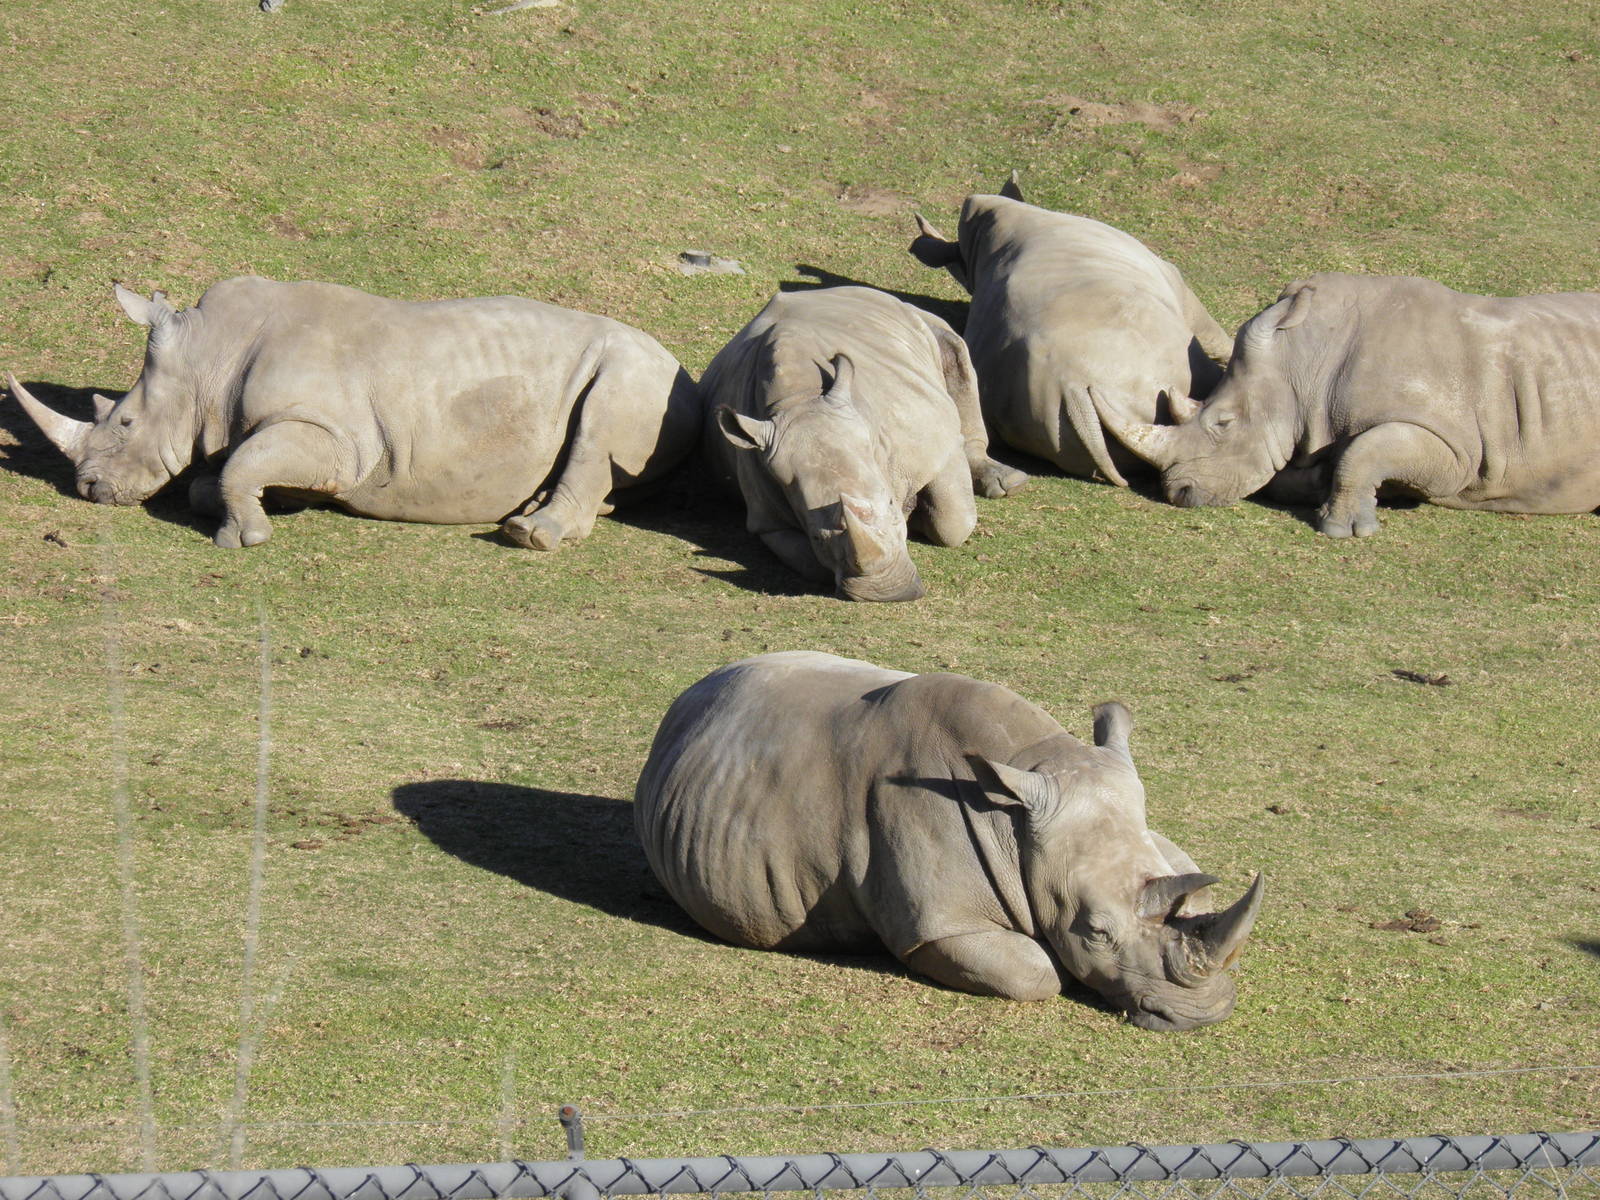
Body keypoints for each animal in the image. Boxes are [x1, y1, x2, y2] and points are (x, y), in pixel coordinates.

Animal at [8, 277, 700, 548]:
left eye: (125, 424)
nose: (88, 488)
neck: (210, 358)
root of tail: (689, 378)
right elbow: (225, 473)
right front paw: (265, 507)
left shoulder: (338, 439)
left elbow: (240, 468)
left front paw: (246, 537)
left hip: (640, 374)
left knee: (601, 420)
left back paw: (528, 534)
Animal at [635, 651, 1264, 1030]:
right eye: (1096, 933)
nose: (1203, 1013)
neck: (1016, 821)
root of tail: (689, 696)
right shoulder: (940, 926)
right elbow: (1036, 971)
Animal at [702, 285, 1027, 602]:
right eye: (816, 536)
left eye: (891, 505)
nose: (889, 593)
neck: (800, 399)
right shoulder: (768, 518)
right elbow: (812, 563)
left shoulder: (938, 442)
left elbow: (953, 522)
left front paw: (916, 515)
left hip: (916, 321)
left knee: (953, 350)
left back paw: (1007, 483)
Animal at [1093, 272, 1600, 536]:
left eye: (1223, 423)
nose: (1177, 493)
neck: (1304, 363)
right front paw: (1323, 483)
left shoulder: (1457, 449)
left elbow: (1363, 451)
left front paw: (1342, 529)